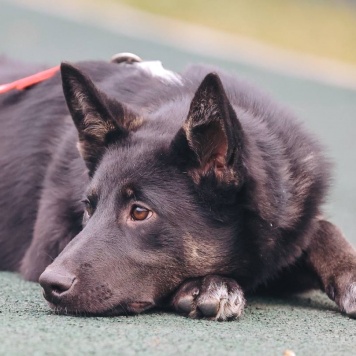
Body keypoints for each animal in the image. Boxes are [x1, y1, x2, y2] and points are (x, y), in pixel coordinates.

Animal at [0, 55, 356, 320]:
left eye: (140, 212)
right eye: (88, 207)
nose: (49, 284)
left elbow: (322, 229)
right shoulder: (46, 246)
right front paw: (207, 285)